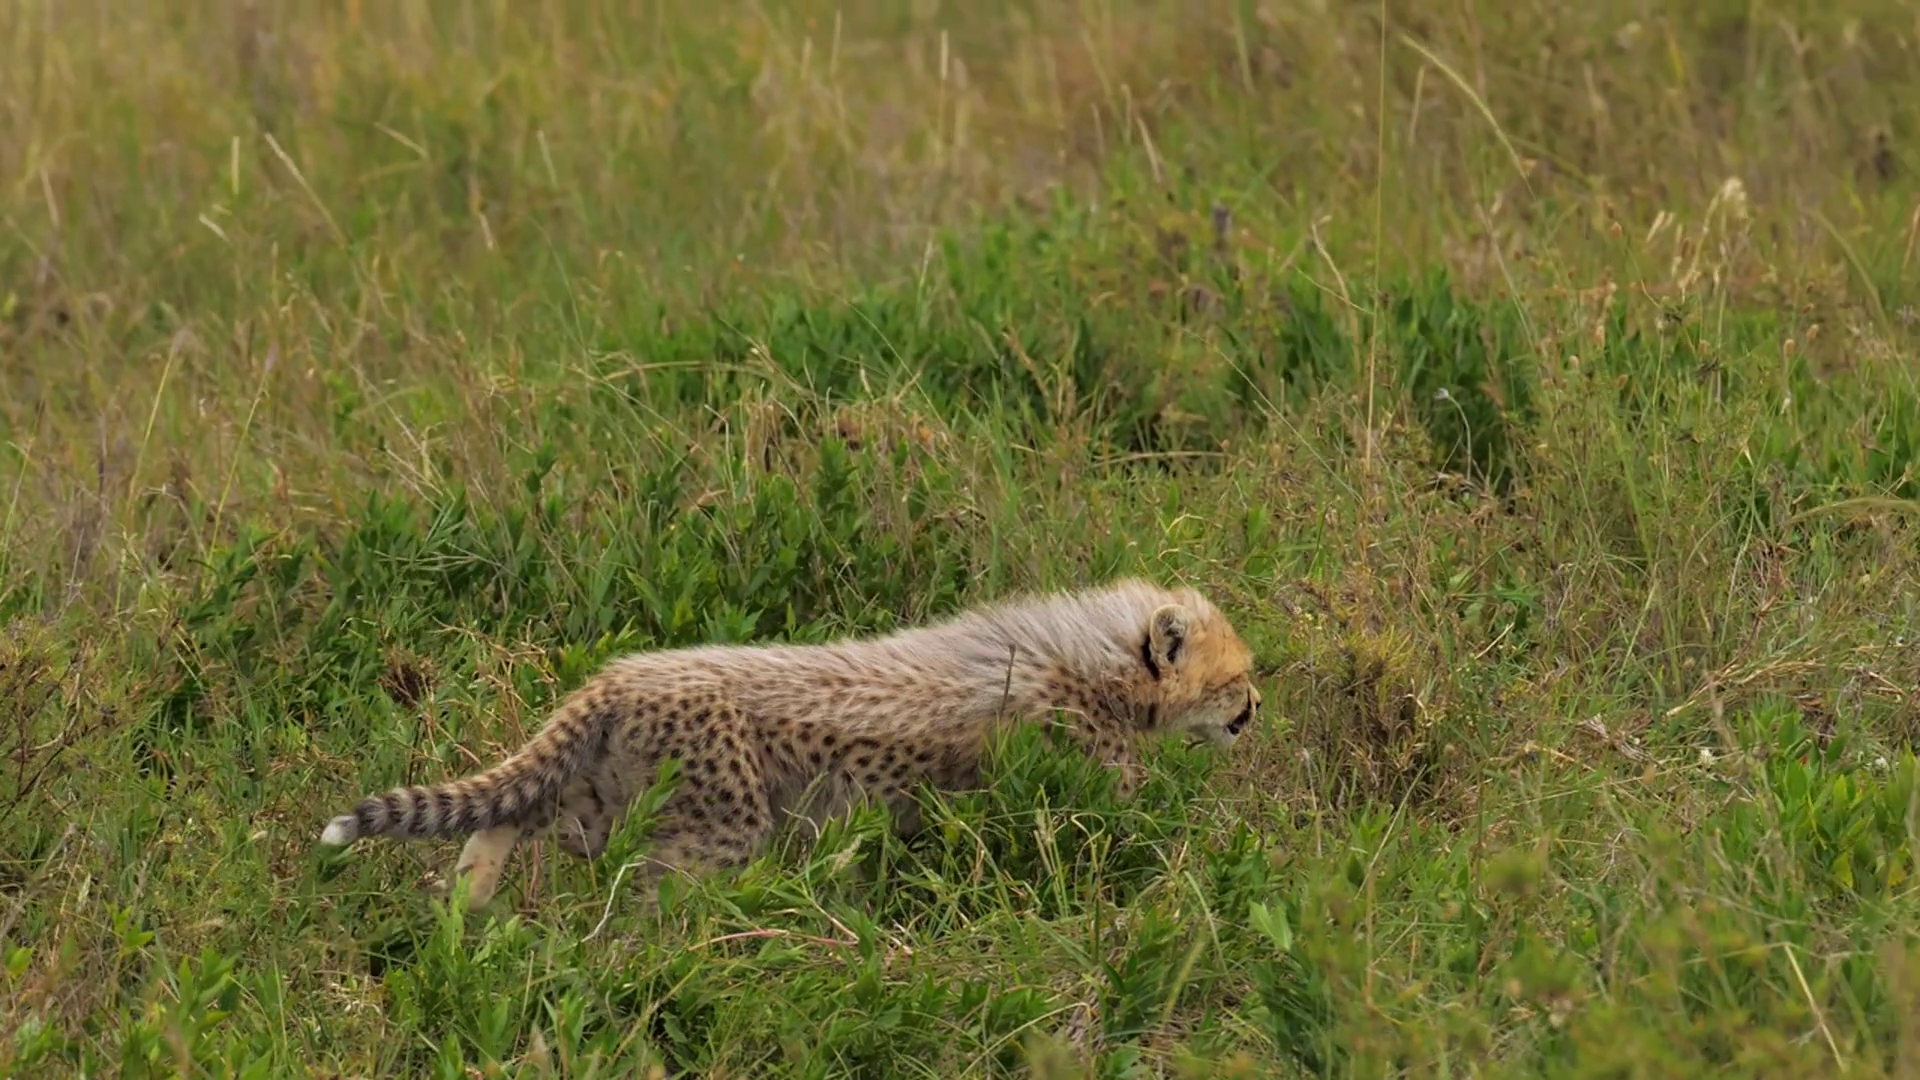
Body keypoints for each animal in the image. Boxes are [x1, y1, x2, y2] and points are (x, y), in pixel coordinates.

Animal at [317, 577, 1260, 910]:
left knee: (515, 811)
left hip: (606, 799)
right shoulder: (1090, 793)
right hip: (717, 826)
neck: (1097, 661)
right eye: (1239, 675)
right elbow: (1158, 843)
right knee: (648, 904)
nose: (1256, 708)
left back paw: (466, 908)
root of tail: (616, 676)